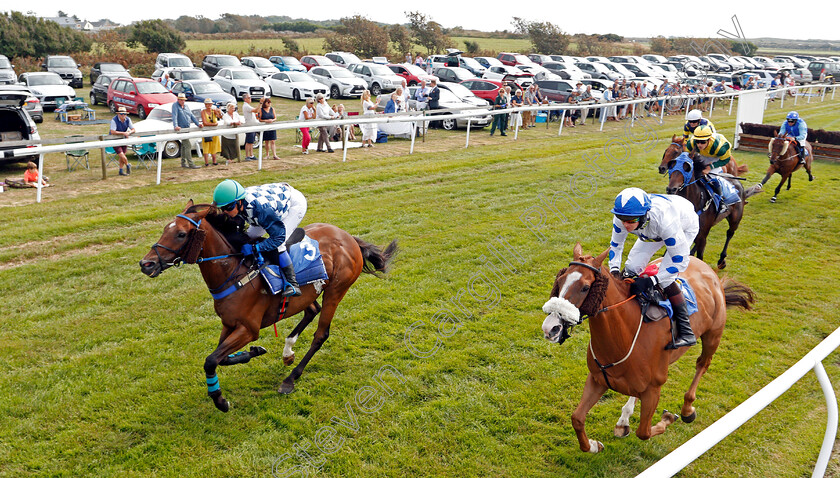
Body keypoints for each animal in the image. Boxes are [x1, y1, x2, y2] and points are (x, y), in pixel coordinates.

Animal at [140, 201, 398, 410]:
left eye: (181, 234)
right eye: (165, 230)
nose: (146, 263)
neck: (233, 272)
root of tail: (349, 238)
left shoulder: (248, 329)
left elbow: (211, 360)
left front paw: (220, 400)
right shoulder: (229, 324)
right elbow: (221, 357)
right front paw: (254, 352)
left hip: (336, 290)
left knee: (321, 334)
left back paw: (290, 379)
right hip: (308, 294)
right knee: (311, 311)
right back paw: (288, 351)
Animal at [540, 245, 756, 454]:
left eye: (585, 287)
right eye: (560, 280)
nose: (551, 327)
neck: (623, 335)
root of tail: (708, 269)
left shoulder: (654, 388)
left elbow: (643, 432)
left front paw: (668, 418)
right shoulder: (597, 379)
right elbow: (577, 418)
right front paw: (593, 445)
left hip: (713, 335)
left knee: (702, 364)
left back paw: (687, 409)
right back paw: (623, 421)